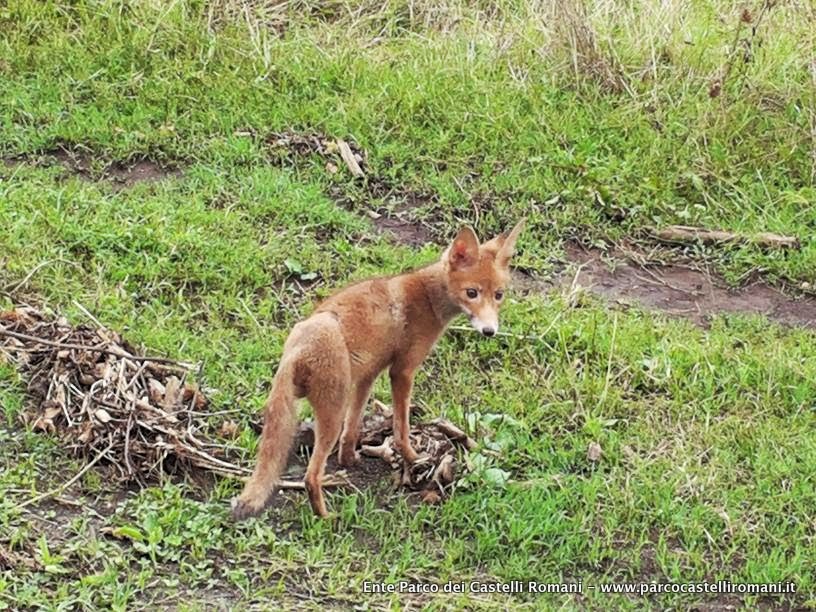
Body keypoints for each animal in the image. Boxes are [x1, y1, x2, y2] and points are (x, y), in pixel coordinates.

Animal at [231, 220, 524, 516]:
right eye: (471, 293)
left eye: (499, 295)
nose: (490, 331)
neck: (428, 298)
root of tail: (296, 348)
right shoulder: (402, 371)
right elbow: (401, 429)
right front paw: (414, 459)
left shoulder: (368, 375)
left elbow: (352, 428)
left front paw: (349, 460)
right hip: (332, 413)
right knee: (310, 477)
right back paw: (325, 516)